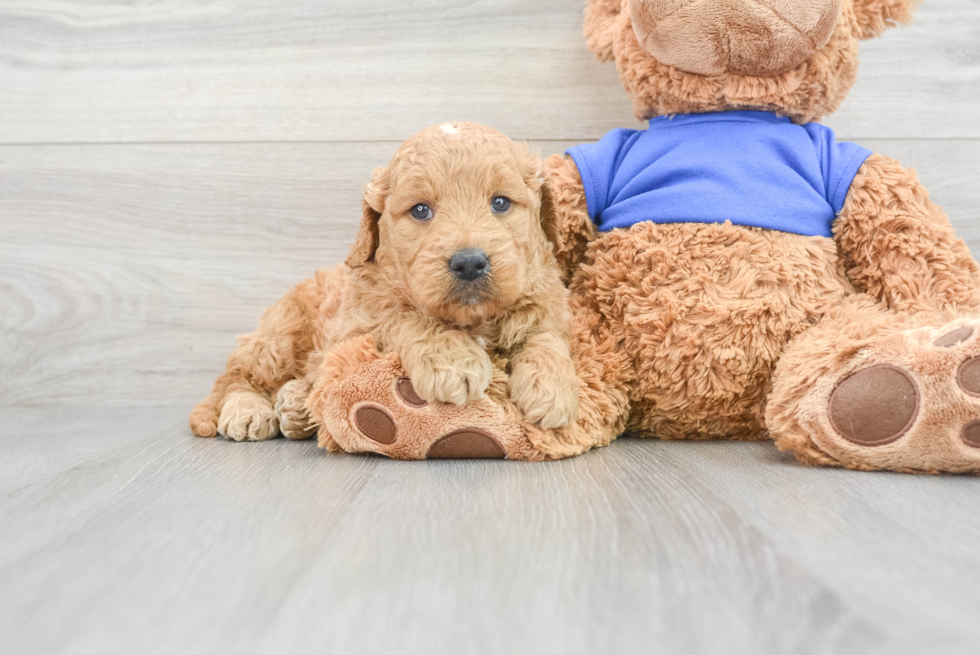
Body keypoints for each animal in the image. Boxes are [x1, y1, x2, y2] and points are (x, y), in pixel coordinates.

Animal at [188, 121, 580, 444]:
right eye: (420, 210)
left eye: (500, 203)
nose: (469, 262)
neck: (471, 320)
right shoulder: (354, 328)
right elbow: (407, 318)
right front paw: (453, 361)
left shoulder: (544, 301)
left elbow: (545, 335)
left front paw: (551, 387)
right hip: (278, 337)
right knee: (234, 378)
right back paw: (248, 411)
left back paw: (296, 404)